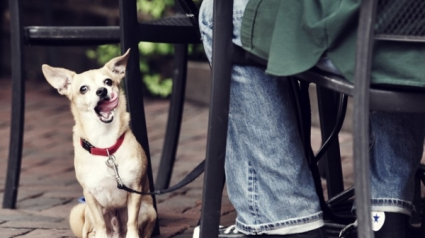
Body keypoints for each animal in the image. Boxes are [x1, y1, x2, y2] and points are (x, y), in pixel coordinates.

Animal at [41, 49, 156, 237]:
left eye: (108, 81)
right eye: (83, 89)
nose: (102, 91)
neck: (105, 145)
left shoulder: (134, 189)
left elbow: (132, 221)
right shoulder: (90, 195)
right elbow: (100, 223)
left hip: (149, 209)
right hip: (86, 212)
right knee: (91, 230)